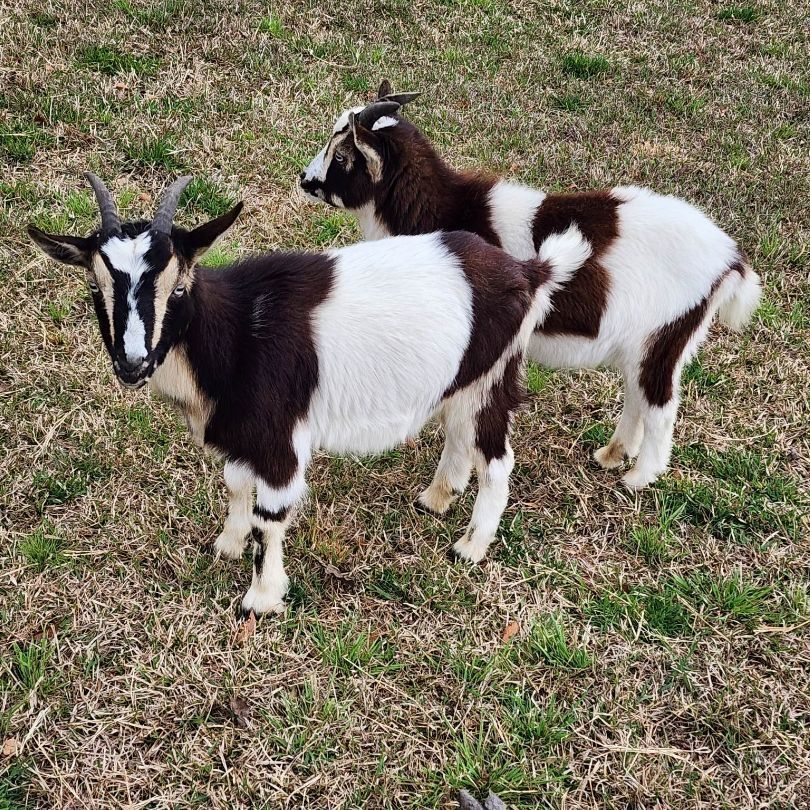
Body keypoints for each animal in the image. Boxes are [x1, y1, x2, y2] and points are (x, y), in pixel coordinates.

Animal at [29, 173, 590, 614]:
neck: (239, 333)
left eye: (180, 284)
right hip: (464, 378)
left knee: (496, 458)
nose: (132, 363)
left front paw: (261, 598)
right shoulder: (245, 434)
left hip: (493, 375)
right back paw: (435, 499)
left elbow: (270, 516)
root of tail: (529, 272)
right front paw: (227, 545)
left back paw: (470, 546)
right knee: (458, 433)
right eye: (95, 286)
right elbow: (235, 484)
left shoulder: (279, 436)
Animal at [300, 81, 762, 488]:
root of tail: (729, 258)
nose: (305, 179)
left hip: (667, 333)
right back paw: (612, 455)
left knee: (661, 406)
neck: (447, 207)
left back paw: (638, 477)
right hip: (647, 340)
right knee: (638, 393)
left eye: (342, 156)